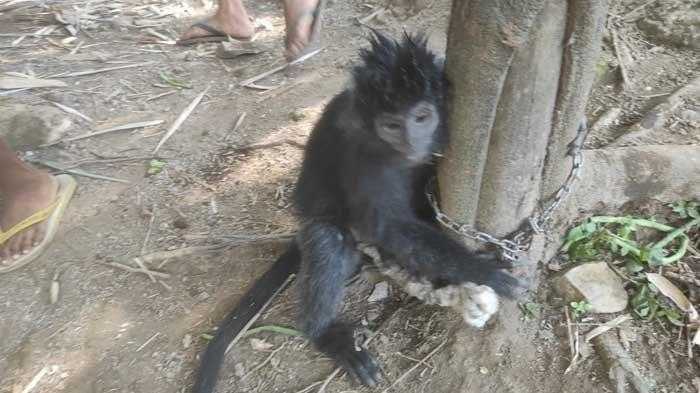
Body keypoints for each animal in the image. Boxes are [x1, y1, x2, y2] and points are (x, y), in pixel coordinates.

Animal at [193, 31, 520, 392]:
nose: (410, 142)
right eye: (391, 125)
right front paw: (481, 270)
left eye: (421, 117)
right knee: (327, 239)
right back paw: (327, 335)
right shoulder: (363, 151)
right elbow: (387, 226)